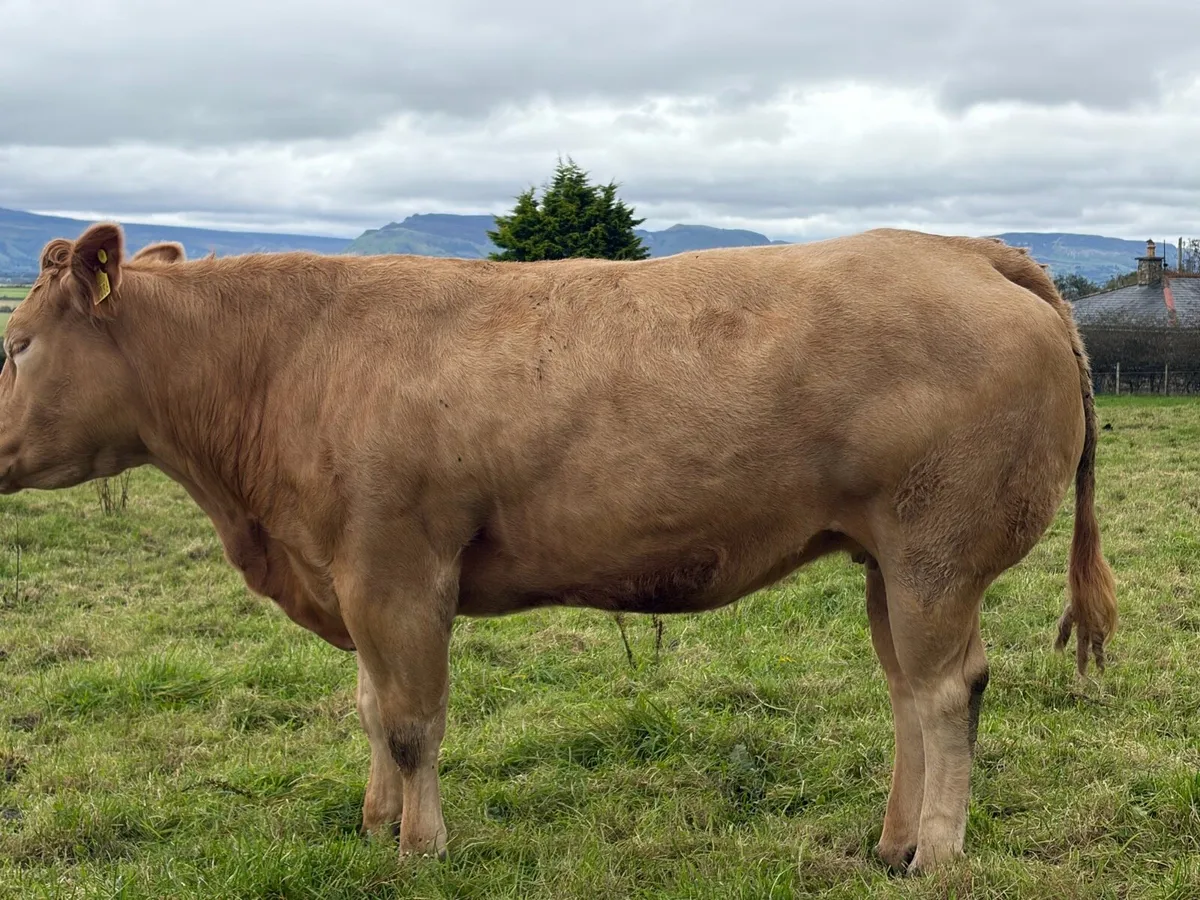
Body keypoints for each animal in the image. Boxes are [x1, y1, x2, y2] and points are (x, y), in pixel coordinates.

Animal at [0, 222, 1116, 873]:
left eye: (14, 344)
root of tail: (965, 246)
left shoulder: (397, 567)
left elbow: (410, 719)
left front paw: (420, 849)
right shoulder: (353, 573)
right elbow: (368, 706)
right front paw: (374, 824)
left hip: (939, 553)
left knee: (946, 691)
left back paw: (936, 857)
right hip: (887, 559)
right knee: (906, 695)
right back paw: (888, 843)